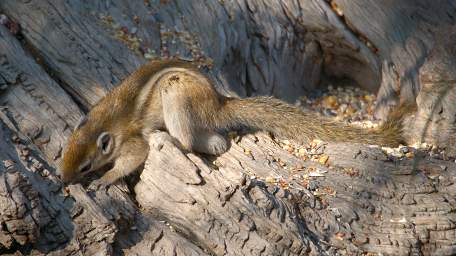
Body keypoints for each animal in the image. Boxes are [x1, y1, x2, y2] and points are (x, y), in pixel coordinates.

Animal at [58, 59, 410, 187]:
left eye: (85, 167)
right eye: (63, 155)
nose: (63, 182)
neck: (104, 121)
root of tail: (218, 104)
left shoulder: (131, 142)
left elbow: (133, 158)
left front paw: (105, 179)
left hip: (177, 95)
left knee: (188, 141)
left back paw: (171, 140)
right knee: (214, 142)